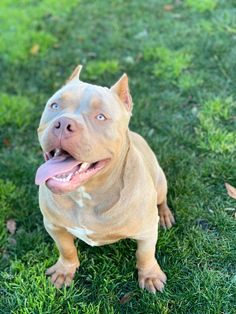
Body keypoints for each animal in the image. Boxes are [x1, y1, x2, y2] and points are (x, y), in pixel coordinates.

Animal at [35, 65, 175, 294]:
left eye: (101, 117)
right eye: (54, 105)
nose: (63, 123)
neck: (86, 194)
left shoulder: (146, 231)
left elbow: (145, 254)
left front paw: (150, 275)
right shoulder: (54, 226)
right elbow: (66, 249)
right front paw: (65, 270)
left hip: (160, 182)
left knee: (161, 200)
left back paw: (164, 215)